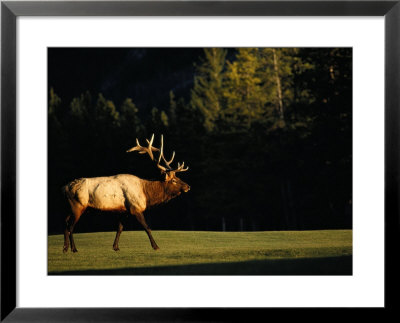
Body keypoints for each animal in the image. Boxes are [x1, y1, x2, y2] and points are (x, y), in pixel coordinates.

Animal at [61, 134, 190, 253]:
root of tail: (64, 188)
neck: (146, 194)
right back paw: (74, 249)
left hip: (69, 208)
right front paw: (156, 246)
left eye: (178, 177)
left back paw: (65, 248)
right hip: (78, 206)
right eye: (174, 180)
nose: (188, 186)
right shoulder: (136, 208)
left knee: (65, 224)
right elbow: (147, 228)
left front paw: (115, 247)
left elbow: (119, 228)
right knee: (71, 227)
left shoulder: (123, 211)